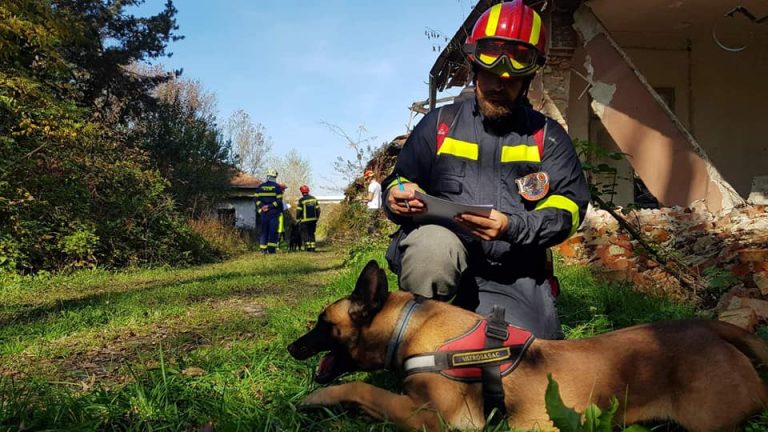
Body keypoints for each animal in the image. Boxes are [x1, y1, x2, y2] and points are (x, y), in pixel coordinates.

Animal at [288, 260, 768, 432]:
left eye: (322, 323)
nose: (293, 349)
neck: (410, 327)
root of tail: (708, 328)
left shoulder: (433, 419)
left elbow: (363, 389)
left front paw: (315, 398)